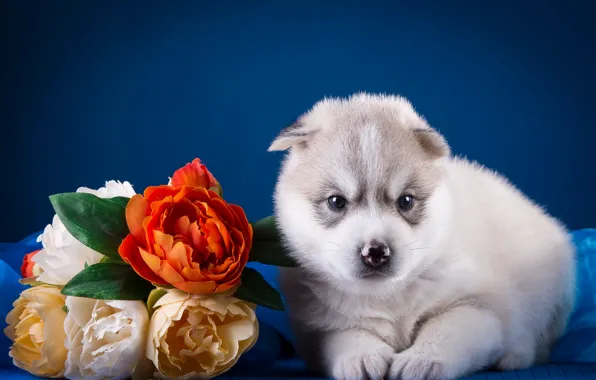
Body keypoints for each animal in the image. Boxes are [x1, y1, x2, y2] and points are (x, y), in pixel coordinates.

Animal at [268, 93, 576, 380]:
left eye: (405, 201)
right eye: (336, 202)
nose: (376, 252)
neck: (386, 296)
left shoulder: (478, 306)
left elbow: (446, 329)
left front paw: (423, 360)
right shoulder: (315, 328)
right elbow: (344, 335)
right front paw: (362, 357)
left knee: (537, 341)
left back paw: (514, 355)